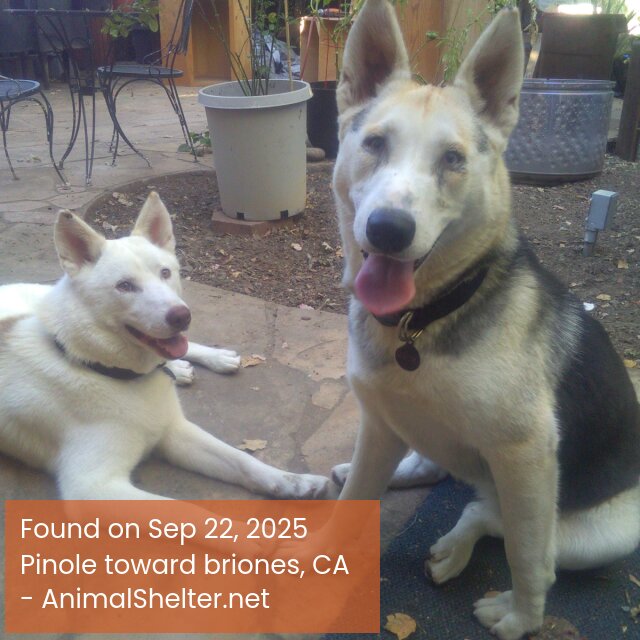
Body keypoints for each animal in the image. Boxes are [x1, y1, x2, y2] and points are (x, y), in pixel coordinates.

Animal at [0, 192, 329, 501]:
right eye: (124, 286)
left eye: (165, 273)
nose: (182, 316)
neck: (96, 367)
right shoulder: (92, 486)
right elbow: (185, 509)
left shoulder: (175, 430)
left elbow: (244, 461)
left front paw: (295, 481)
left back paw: (209, 360)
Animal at [331, 2, 640, 639]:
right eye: (374, 143)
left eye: (452, 159)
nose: (388, 229)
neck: (420, 322)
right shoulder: (379, 422)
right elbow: (355, 501)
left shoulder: (526, 457)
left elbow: (526, 555)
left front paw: (523, 616)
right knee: (459, 485)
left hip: (597, 533)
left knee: (498, 518)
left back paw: (459, 548)